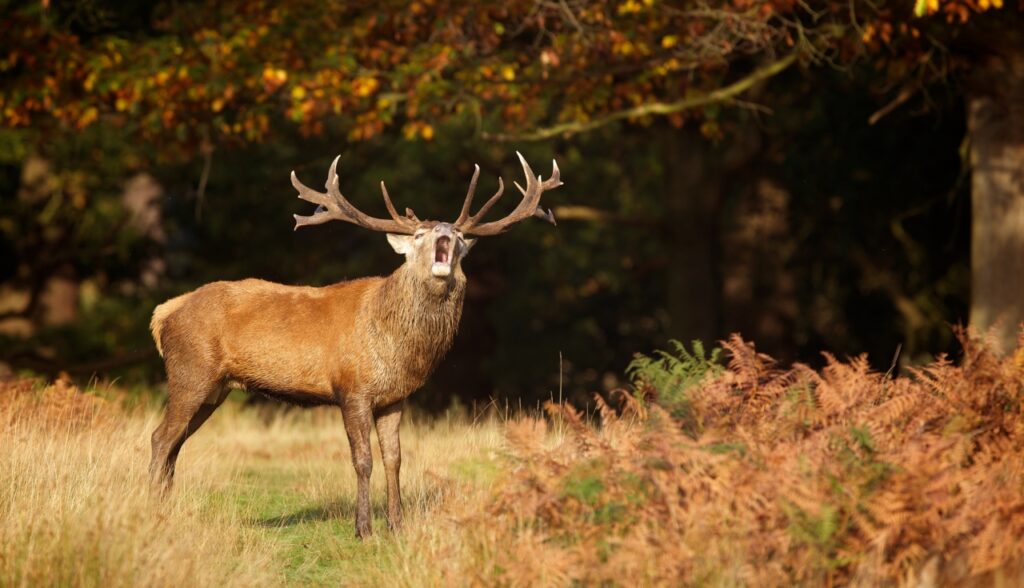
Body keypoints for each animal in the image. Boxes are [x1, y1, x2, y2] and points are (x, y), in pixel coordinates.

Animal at [148, 152, 562, 538]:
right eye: (418, 235)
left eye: (460, 238)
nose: (445, 230)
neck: (397, 346)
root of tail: (164, 313)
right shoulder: (352, 389)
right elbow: (363, 460)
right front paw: (363, 528)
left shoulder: (395, 397)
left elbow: (395, 459)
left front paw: (397, 524)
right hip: (190, 372)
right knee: (161, 438)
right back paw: (152, 508)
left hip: (215, 389)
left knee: (176, 443)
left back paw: (166, 508)